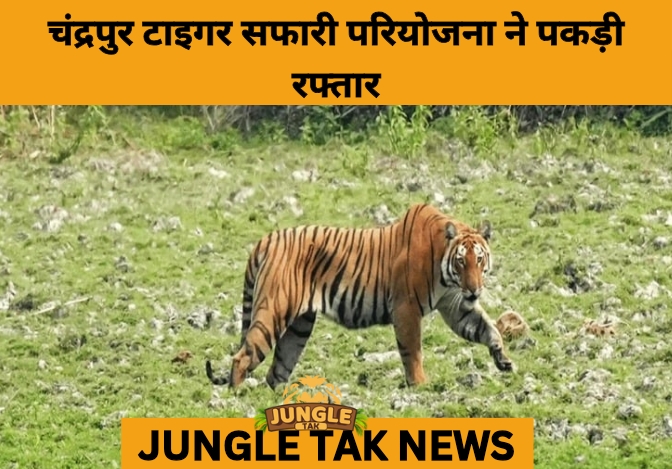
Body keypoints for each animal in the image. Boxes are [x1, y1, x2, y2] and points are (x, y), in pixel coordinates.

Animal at [205, 203, 513, 390]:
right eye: (461, 261)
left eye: (479, 260)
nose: (474, 290)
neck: (445, 270)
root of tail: (266, 239)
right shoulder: (406, 308)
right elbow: (413, 350)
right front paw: (420, 386)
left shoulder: (454, 305)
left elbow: (487, 328)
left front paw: (503, 360)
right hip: (274, 311)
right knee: (243, 356)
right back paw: (236, 398)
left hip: (299, 326)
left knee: (277, 369)